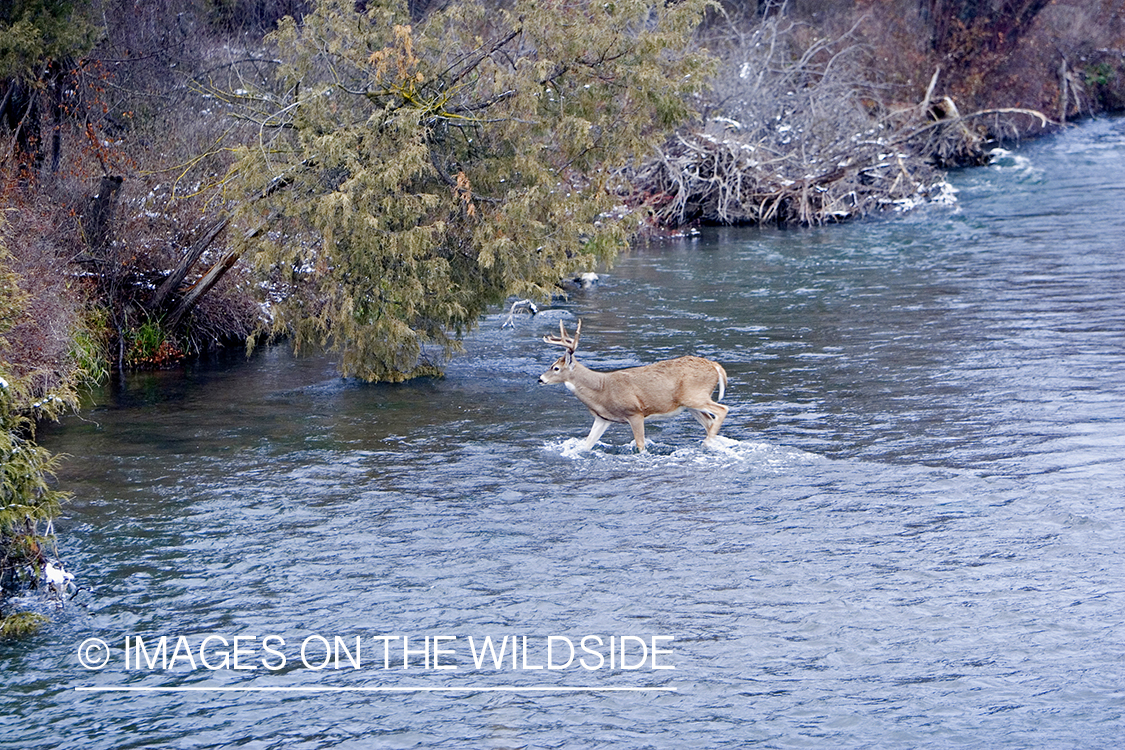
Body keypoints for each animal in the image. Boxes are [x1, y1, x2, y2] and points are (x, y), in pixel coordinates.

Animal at [537, 319, 729, 452]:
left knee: (722, 409)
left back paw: (707, 443)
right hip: (689, 405)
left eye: (555, 368)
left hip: (695, 395)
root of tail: (716, 366)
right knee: (710, 421)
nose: (540, 379)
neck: (602, 389)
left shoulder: (635, 412)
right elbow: (587, 444)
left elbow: (641, 445)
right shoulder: (603, 418)